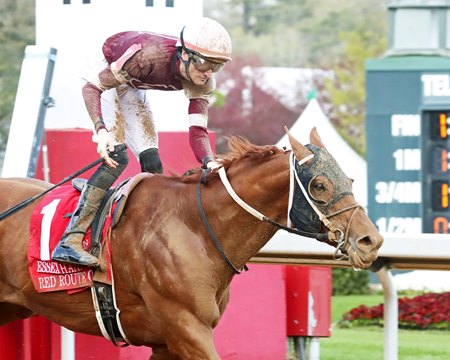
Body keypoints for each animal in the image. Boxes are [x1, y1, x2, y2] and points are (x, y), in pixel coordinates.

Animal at [0, 129, 384, 360]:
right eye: (319, 185)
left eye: (349, 179)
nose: (371, 241)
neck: (195, 227)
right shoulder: (188, 330)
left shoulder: (167, 342)